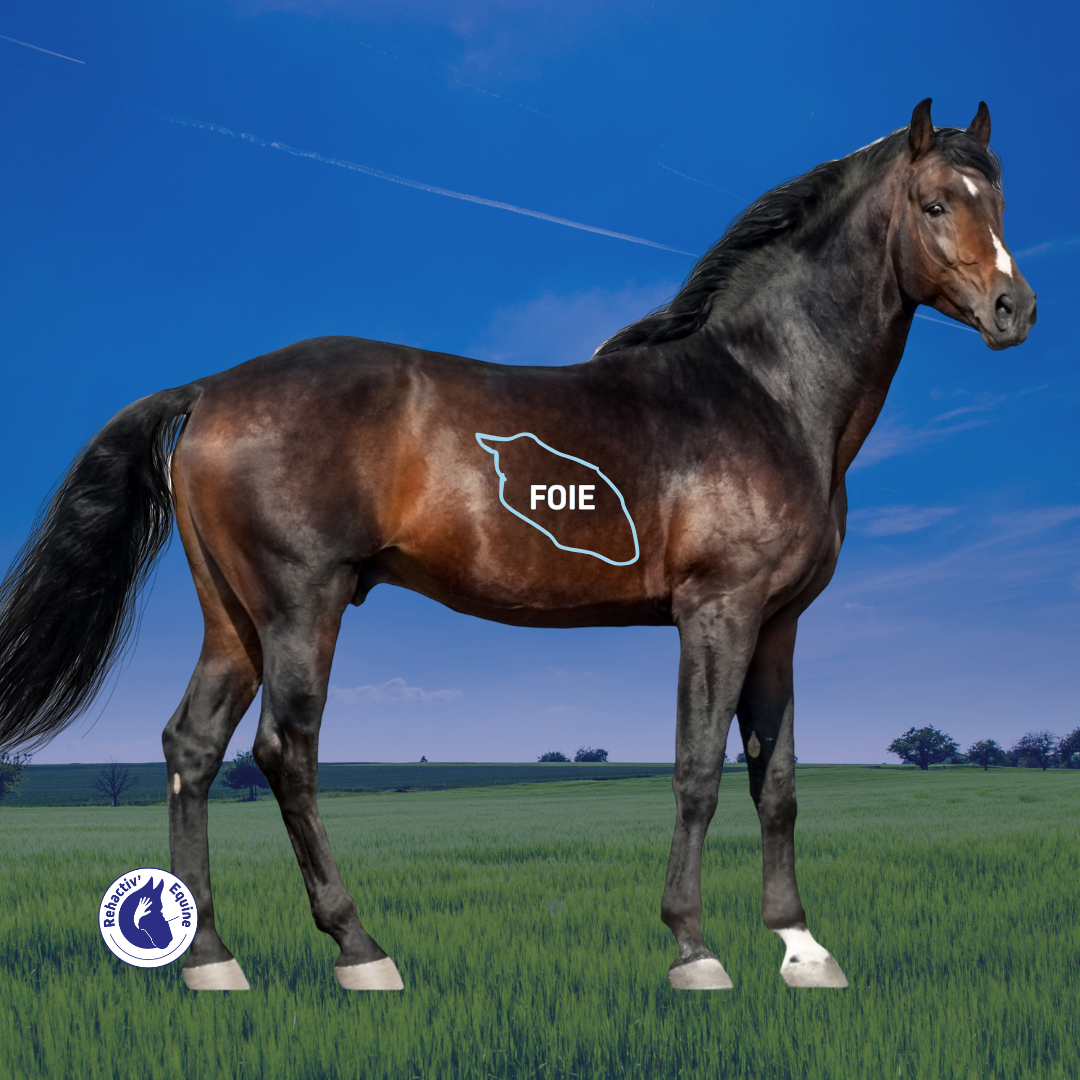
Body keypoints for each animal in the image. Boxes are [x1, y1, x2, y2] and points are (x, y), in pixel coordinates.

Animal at [0, 99, 1035, 992]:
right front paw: (694, 951)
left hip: (235, 619)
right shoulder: (718, 612)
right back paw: (361, 951)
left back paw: (210, 960)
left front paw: (803, 949)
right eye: (936, 203)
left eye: (999, 201)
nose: (1013, 309)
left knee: (193, 746)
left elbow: (774, 783)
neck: (759, 393)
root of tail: (211, 387)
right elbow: (697, 774)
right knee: (284, 751)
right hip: (302, 605)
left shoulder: (777, 625)